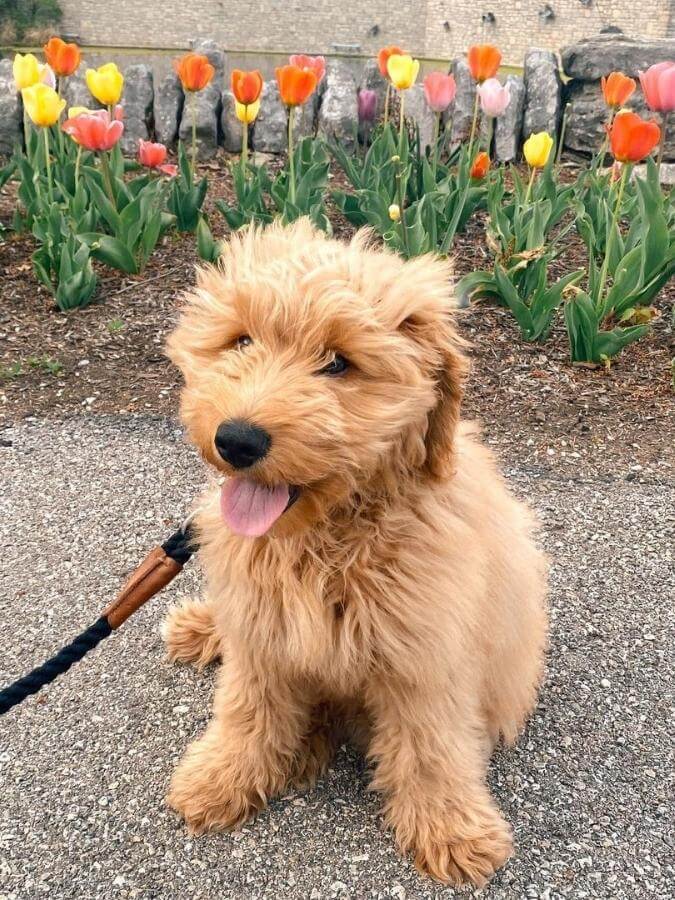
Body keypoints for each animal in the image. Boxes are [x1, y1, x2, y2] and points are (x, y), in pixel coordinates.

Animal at [164, 220, 548, 884]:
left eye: (339, 363)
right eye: (242, 340)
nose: (236, 439)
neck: (327, 538)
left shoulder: (427, 652)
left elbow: (431, 744)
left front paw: (450, 828)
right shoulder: (261, 631)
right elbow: (246, 708)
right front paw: (221, 777)